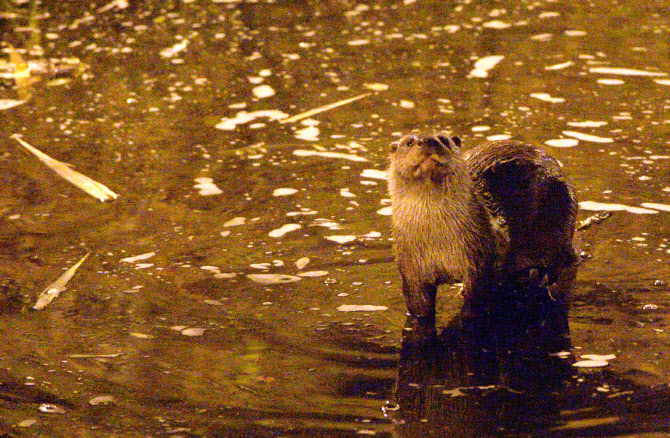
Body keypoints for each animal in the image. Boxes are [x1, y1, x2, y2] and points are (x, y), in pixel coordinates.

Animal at [392, 135, 580, 324]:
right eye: (409, 142)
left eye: (443, 140)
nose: (429, 141)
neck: (438, 242)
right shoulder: (410, 267)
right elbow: (417, 305)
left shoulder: (480, 259)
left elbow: (476, 298)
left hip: (560, 218)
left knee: (562, 261)